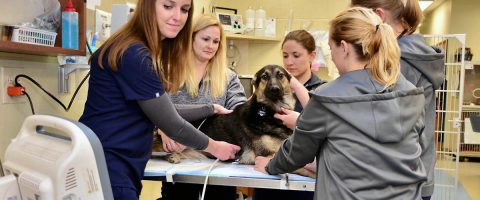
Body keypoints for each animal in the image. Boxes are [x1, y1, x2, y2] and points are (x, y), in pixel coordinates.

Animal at [154, 65, 316, 178]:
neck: (268, 112)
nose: (275, 89)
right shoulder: (267, 156)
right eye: (264, 76)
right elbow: (302, 167)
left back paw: (174, 156)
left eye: (280, 75)